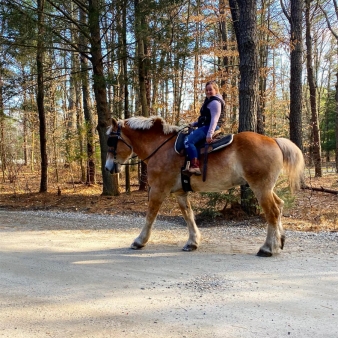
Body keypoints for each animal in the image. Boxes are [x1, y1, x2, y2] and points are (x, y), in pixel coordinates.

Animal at [105, 116, 304, 256]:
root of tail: (274, 140)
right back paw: (279, 240)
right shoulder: (180, 193)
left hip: (260, 188)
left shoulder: (157, 190)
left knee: (273, 212)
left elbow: (150, 216)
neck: (160, 148)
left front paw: (140, 241)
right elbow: (188, 216)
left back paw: (268, 248)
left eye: (111, 141)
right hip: (267, 188)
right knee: (279, 205)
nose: (108, 167)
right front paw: (192, 242)